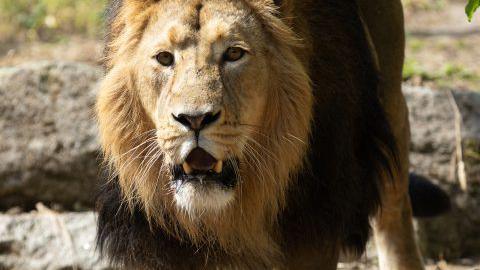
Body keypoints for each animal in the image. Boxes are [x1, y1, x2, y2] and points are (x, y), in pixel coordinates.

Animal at [95, 0, 444, 270]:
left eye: (234, 54)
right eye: (165, 58)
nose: (194, 119)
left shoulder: (313, 231)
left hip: (391, 99)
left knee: (394, 209)